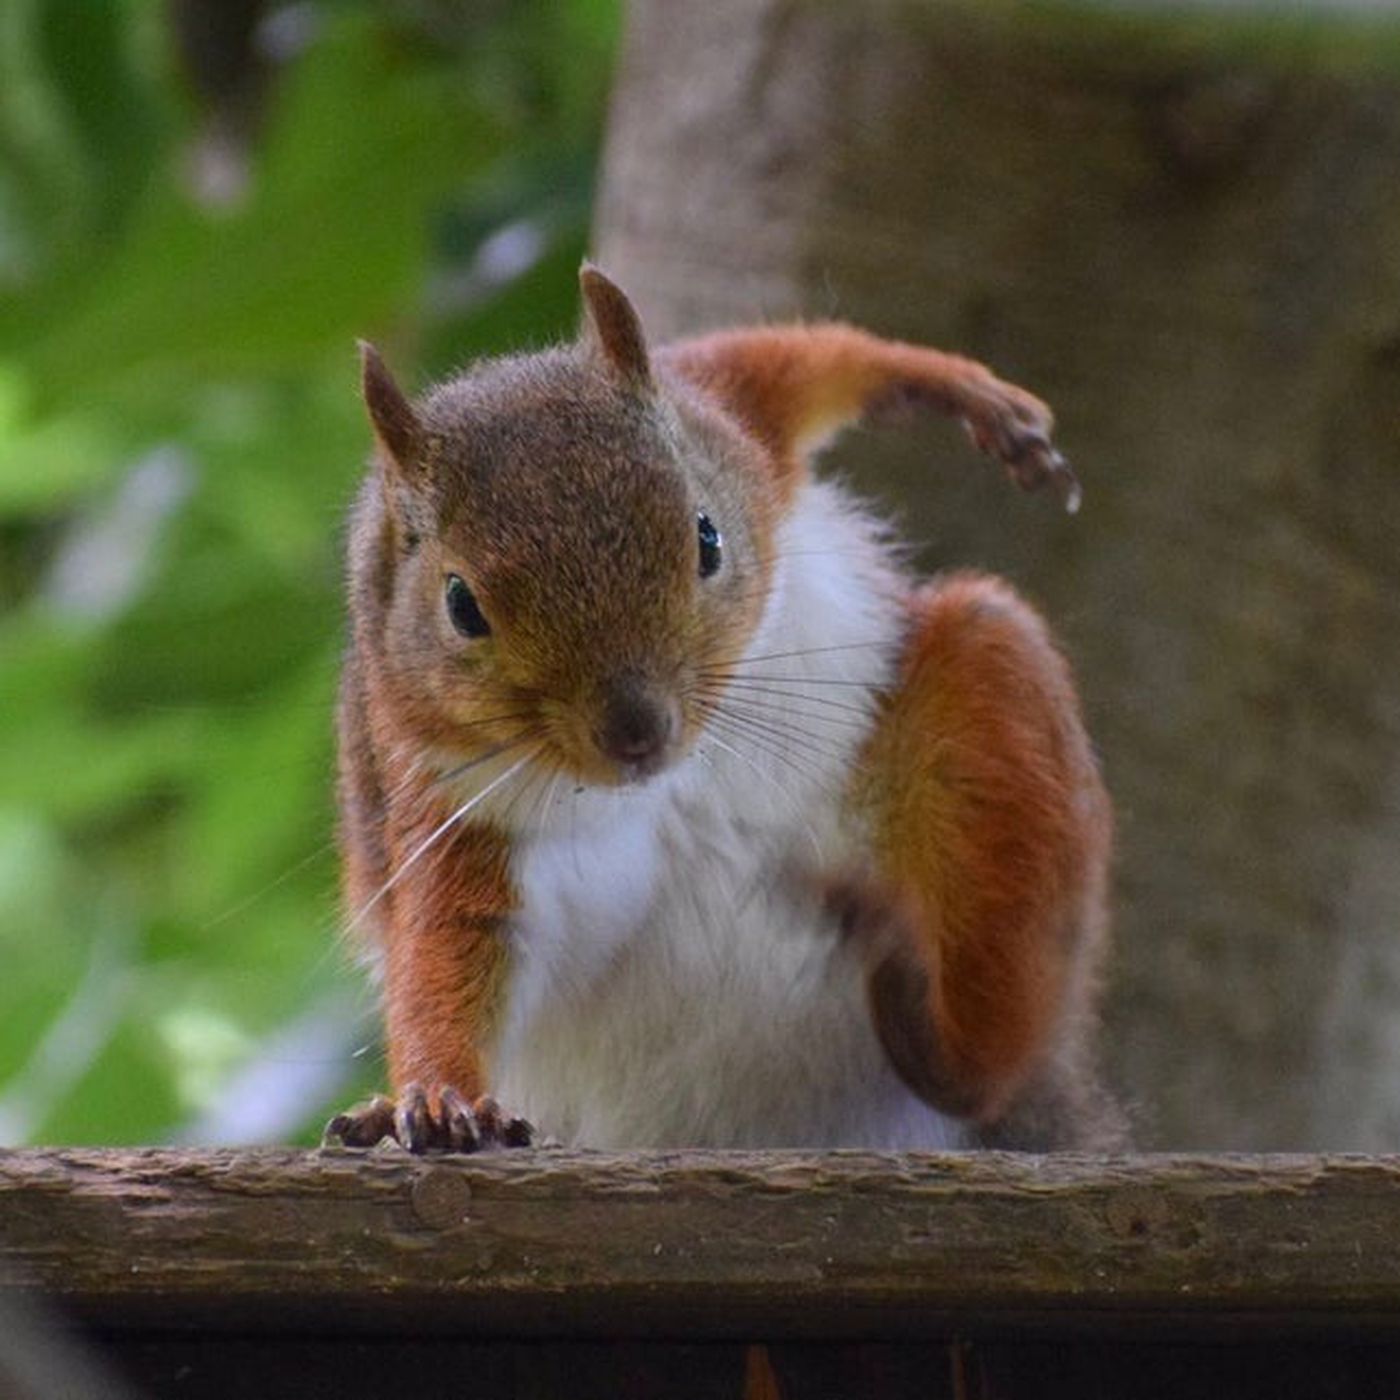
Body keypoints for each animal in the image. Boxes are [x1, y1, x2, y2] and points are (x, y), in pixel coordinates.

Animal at [322, 267, 1120, 1153]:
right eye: (461, 606)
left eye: (707, 538)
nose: (637, 732)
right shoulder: (450, 807)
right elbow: (452, 948)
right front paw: (439, 1098)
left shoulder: (727, 418)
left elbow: (788, 362)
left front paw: (956, 388)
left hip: (991, 704)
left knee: (989, 1044)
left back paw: (937, 1022)